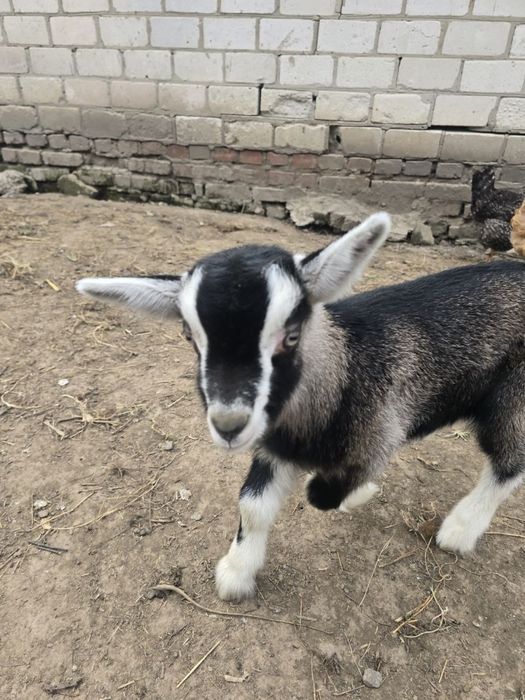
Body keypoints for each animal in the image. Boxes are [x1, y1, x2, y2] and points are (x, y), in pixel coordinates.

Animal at [76, 213, 525, 601]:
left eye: (291, 335)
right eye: (190, 335)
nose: (228, 424)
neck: (342, 368)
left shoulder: (380, 430)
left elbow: (322, 493)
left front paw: (358, 493)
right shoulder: (273, 445)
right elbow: (253, 506)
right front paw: (237, 572)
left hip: (514, 398)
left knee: (509, 463)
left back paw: (460, 530)